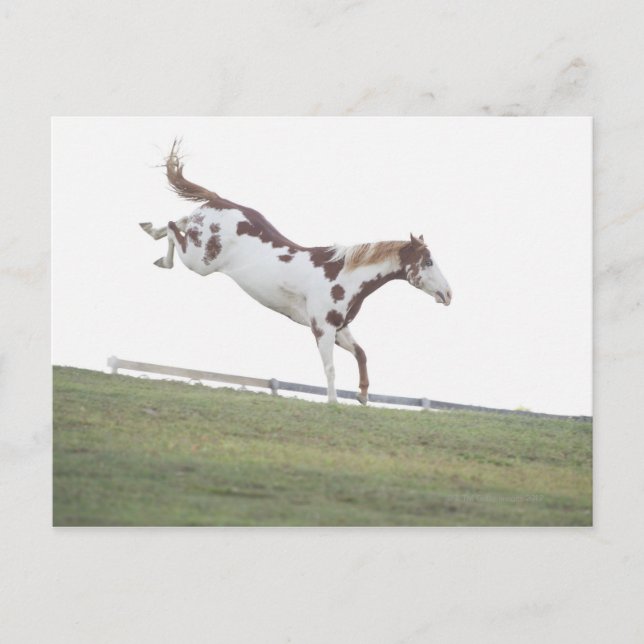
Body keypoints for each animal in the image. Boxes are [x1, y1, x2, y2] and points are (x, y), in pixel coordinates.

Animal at [140, 141, 452, 405]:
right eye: (427, 262)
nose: (448, 294)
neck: (343, 276)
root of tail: (220, 202)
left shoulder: (339, 328)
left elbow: (361, 353)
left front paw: (363, 396)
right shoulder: (322, 328)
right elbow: (330, 368)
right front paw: (333, 403)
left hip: (198, 242)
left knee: (179, 221)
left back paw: (149, 228)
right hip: (200, 262)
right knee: (173, 227)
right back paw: (161, 258)